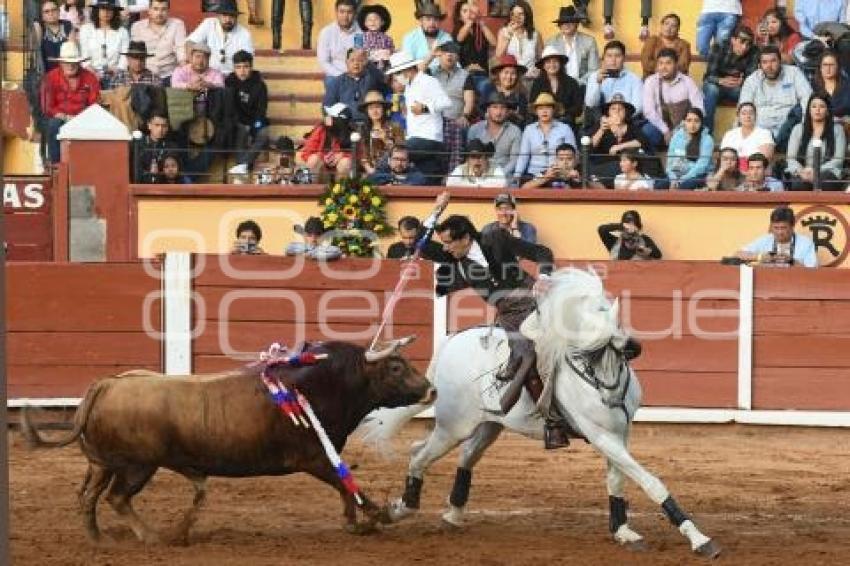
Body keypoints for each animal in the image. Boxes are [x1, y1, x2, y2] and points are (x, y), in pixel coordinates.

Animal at [21, 338, 430, 544]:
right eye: (396, 367)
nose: (431, 389)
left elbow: (345, 486)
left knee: (88, 496)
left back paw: (98, 539)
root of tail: (107, 384)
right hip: (138, 466)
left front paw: (356, 524)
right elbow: (346, 484)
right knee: (116, 498)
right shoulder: (313, 456)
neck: (319, 385)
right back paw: (153, 536)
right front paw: (377, 516)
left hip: (102, 463)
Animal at [362, 268, 720, 560]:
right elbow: (649, 481)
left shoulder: (620, 432)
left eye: (620, 346)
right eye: (589, 348)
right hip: (453, 426)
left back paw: (452, 515)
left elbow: (617, 480)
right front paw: (700, 540)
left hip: (488, 425)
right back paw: (399, 509)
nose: (631, 347)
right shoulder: (600, 434)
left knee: (465, 458)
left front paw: (623, 531)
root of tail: (452, 341)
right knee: (419, 454)